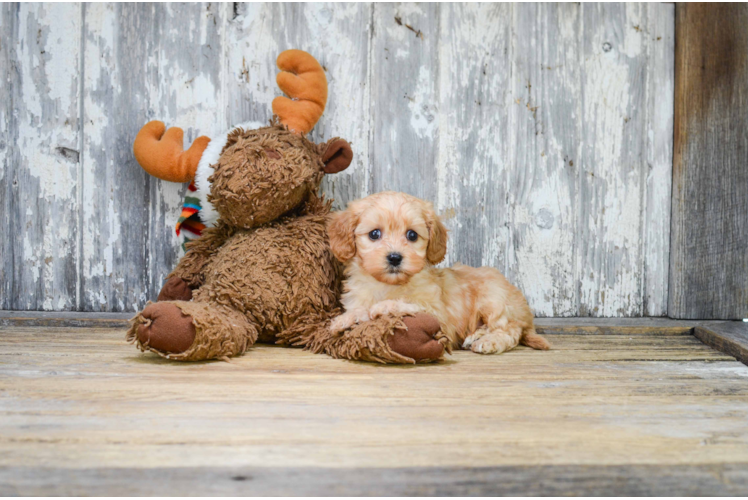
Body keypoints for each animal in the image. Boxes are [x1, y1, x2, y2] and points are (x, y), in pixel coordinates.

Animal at [328, 191, 548, 356]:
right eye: (374, 234)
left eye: (412, 235)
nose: (395, 257)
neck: (388, 284)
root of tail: (526, 314)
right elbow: (360, 309)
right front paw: (344, 320)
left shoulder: (437, 314)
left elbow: (407, 303)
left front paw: (383, 306)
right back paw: (475, 336)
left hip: (494, 300)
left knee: (509, 330)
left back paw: (487, 341)